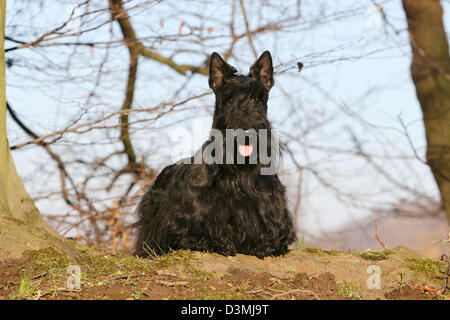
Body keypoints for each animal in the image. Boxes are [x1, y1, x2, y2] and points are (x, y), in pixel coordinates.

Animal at [135, 51, 298, 258]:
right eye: (228, 100)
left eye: (258, 99)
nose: (246, 132)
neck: (239, 173)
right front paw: (216, 243)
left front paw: (265, 245)